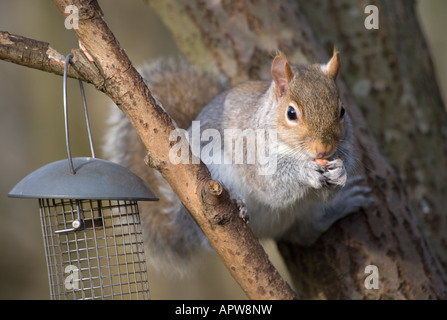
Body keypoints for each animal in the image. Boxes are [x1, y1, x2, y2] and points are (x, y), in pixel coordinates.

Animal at [105, 49, 372, 276]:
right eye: (291, 113)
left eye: (342, 111)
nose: (324, 149)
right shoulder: (251, 149)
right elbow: (272, 186)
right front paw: (304, 171)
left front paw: (340, 172)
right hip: (209, 188)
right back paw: (237, 204)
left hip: (304, 214)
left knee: (305, 232)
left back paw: (341, 205)